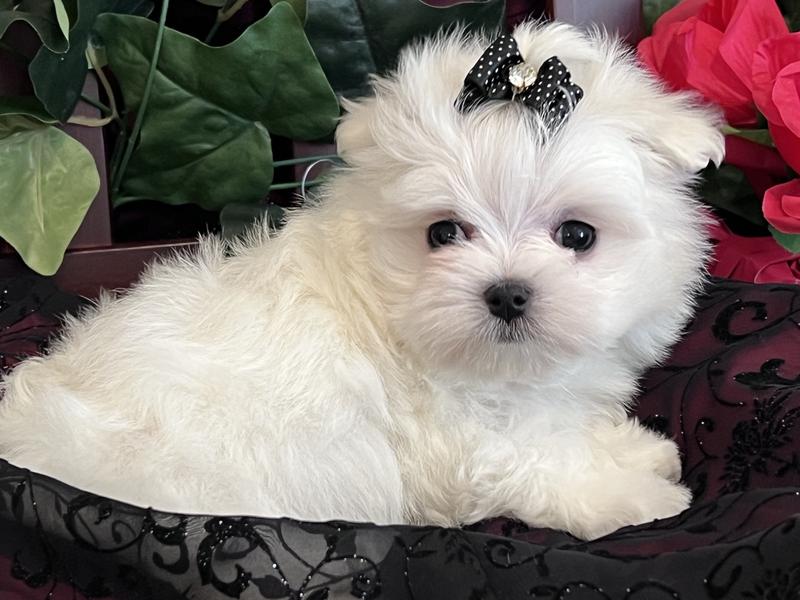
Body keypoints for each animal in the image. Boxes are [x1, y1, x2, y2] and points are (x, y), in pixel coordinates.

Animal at [0, 22, 724, 540]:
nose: (508, 292)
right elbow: (541, 468)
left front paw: (632, 451)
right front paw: (639, 497)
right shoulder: (466, 447)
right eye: (443, 233)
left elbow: (566, 433)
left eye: (577, 235)